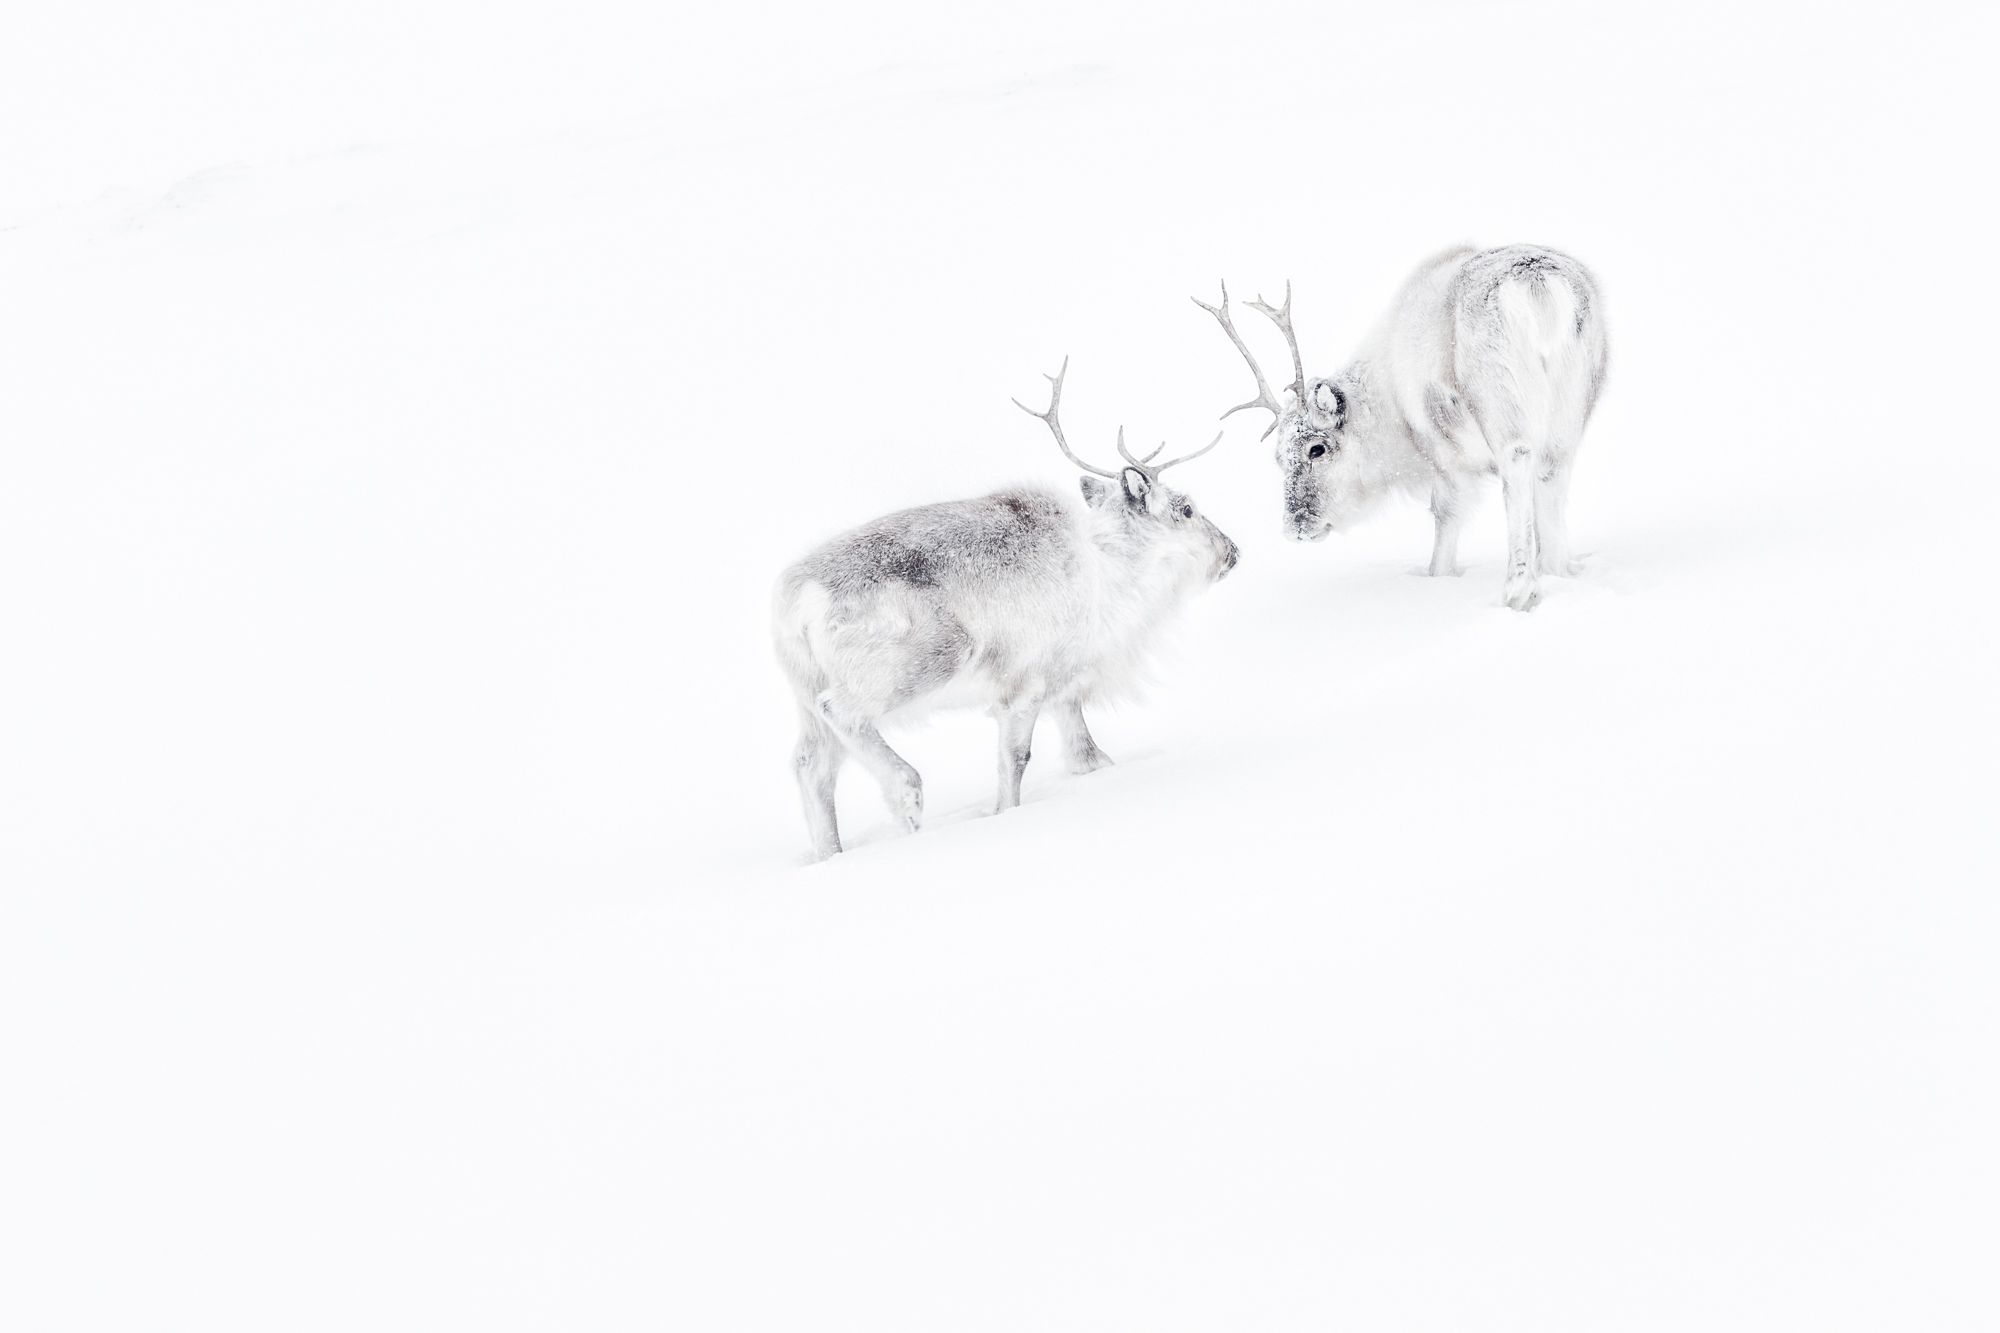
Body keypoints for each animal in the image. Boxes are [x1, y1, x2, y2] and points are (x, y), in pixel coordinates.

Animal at [771, 360, 1239, 860]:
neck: (1111, 573)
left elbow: (1087, 755)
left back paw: (831, 853)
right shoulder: (1024, 687)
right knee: (840, 713)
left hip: (805, 692)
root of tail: (797, 601)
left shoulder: (1065, 688)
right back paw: (907, 797)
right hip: (926, 658)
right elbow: (1016, 762)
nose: (1233, 551)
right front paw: (1005, 816)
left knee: (810, 766)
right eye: (1186, 509)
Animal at [1195, 244, 1609, 611]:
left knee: (1519, 460)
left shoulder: (1446, 459)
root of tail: (1536, 282)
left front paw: (1437, 575)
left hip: (1500, 400)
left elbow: (1445, 518)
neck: (1388, 404)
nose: (1294, 527)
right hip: (1569, 407)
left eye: (1317, 448)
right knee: (1551, 475)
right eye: (1278, 458)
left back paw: (1520, 589)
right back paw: (1554, 570)